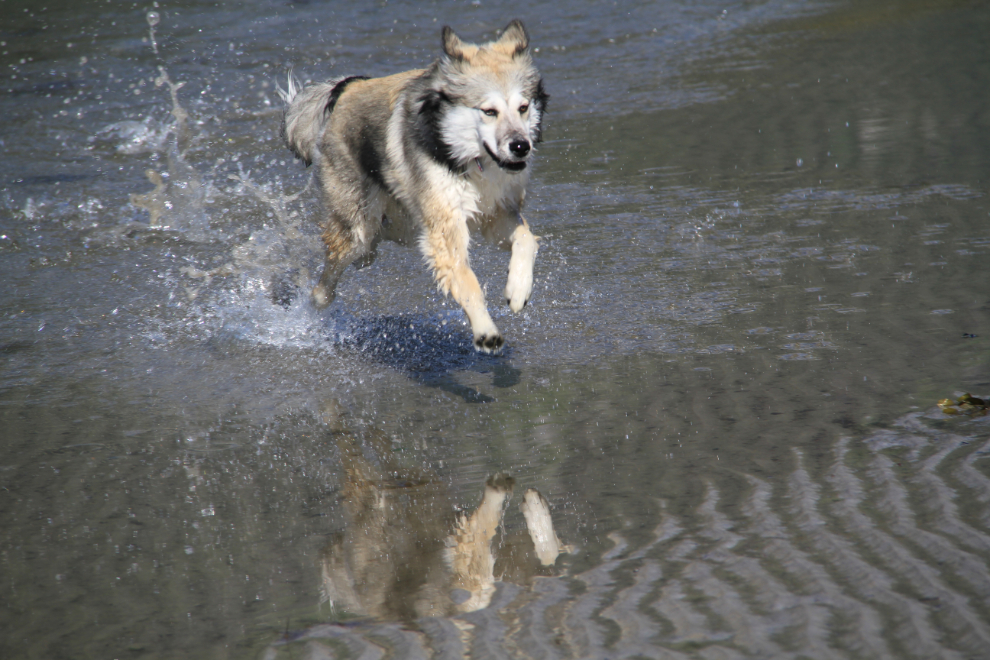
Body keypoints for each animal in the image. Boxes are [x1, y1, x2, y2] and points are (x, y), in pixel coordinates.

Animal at [280, 18, 552, 354]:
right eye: (489, 111)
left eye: (523, 107)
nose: (521, 146)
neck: (467, 158)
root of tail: (345, 88)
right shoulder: (445, 227)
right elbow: (466, 281)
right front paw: (485, 331)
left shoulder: (496, 213)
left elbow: (527, 239)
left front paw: (518, 289)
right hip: (358, 226)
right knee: (333, 271)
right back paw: (314, 304)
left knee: (370, 250)